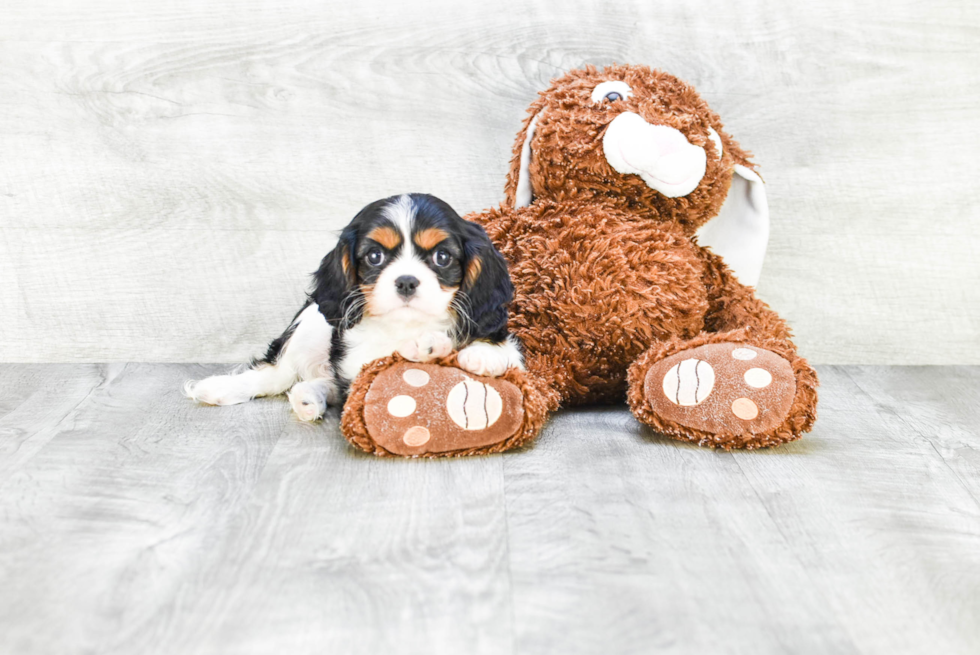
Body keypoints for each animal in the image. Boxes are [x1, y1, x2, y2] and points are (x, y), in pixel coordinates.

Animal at [183, 192, 520, 422]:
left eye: (442, 257)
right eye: (374, 257)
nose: (406, 281)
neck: (407, 326)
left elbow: (506, 350)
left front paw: (484, 354)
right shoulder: (357, 361)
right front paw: (428, 346)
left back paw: (308, 398)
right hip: (311, 323)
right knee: (278, 373)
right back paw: (220, 388)